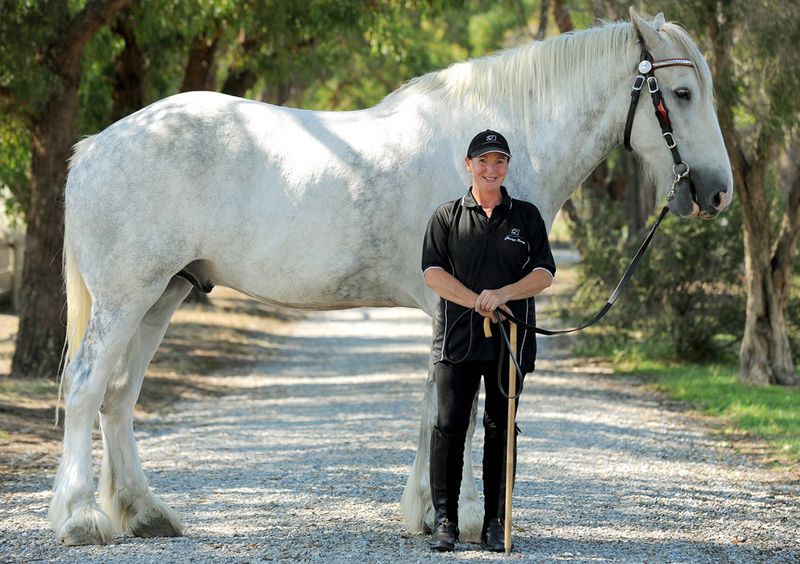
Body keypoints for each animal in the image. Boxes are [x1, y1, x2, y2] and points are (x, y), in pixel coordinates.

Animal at [50, 7, 732, 548]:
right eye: (682, 93)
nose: (718, 192)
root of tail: (97, 145)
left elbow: (438, 406)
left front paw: (431, 512)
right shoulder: (456, 308)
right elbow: (453, 409)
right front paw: (456, 517)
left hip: (162, 295)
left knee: (118, 398)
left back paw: (145, 514)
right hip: (127, 297)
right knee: (86, 389)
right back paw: (80, 519)